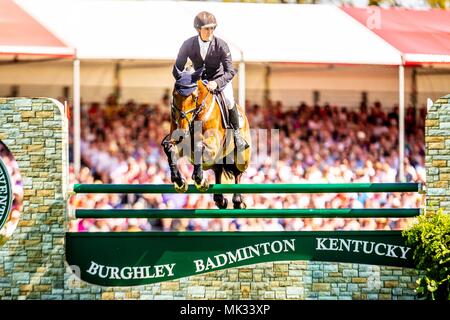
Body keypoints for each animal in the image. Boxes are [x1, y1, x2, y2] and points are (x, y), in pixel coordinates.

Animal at [162, 67, 251, 209]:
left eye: (194, 97)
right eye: (174, 95)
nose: (182, 130)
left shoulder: (213, 144)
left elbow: (199, 146)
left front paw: (200, 180)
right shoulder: (180, 144)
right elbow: (169, 148)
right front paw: (180, 182)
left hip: (242, 157)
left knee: (238, 172)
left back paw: (238, 201)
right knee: (218, 170)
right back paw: (220, 200)